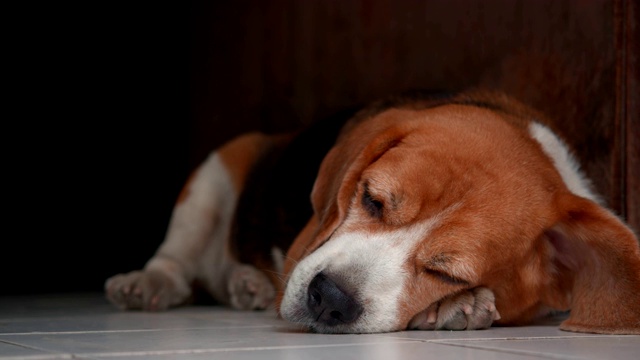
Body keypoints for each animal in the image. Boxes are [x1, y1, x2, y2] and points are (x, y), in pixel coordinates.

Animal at [105, 89, 640, 334]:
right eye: (372, 200)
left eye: (446, 273)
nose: (329, 299)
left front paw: (459, 306)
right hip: (217, 171)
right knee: (176, 262)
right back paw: (148, 284)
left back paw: (246, 283)